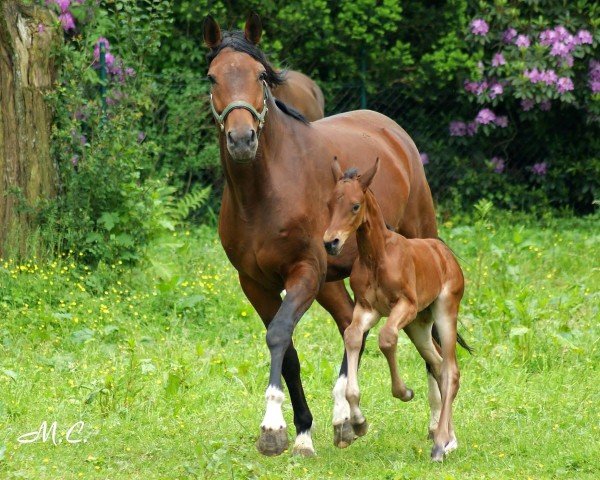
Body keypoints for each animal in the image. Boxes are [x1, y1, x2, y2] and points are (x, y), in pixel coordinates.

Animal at [324, 158, 464, 462]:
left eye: (355, 205)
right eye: (329, 203)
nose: (330, 243)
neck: (376, 256)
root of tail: (445, 253)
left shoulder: (405, 305)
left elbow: (386, 338)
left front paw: (404, 392)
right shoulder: (367, 308)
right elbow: (353, 336)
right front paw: (358, 422)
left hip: (444, 312)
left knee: (451, 370)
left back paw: (440, 444)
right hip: (419, 325)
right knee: (438, 365)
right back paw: (448, 439)